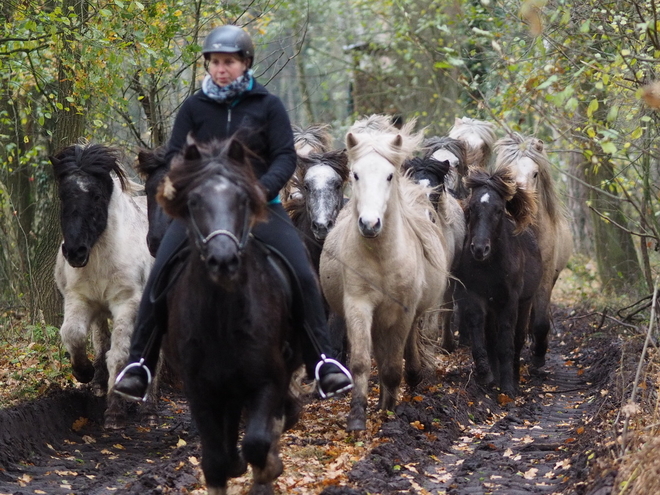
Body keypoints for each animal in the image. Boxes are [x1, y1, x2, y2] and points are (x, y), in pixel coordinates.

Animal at [157, 136, 302, 495]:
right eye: (194, 201)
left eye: (242, 200)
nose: (223, 260)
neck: (221, 320)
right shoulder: (199, 388)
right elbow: (214, 461)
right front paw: (233, 465)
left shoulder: (269, 378)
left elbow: (258, 442)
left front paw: (268, 470)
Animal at [318, 117, 452, 434]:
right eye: (355, 174)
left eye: (390, 176)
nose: (370, 224)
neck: (381, 258)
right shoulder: (358, 305)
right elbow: (361, 361)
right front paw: (357, 416)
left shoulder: (402, 310)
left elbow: (393, 362)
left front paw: (391, 411)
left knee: (406, 344)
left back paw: (411, 378)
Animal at [454, 169, 540, 398]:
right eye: (472, 207)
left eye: (499, 210)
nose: (479, 249)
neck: (490, 265)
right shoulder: (475, 296)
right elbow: (480, 333)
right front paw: (486, 374)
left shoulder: (509, 301)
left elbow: (506, 342)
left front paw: (508, 387)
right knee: (492, 337)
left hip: (525, 302)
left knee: (518, 338)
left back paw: (515, 375)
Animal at [496, 133, 572, 368]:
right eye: (507, 174)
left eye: (535, 173)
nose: (520, 205)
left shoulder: (545, 278)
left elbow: (539, 321)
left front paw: (538, 356)